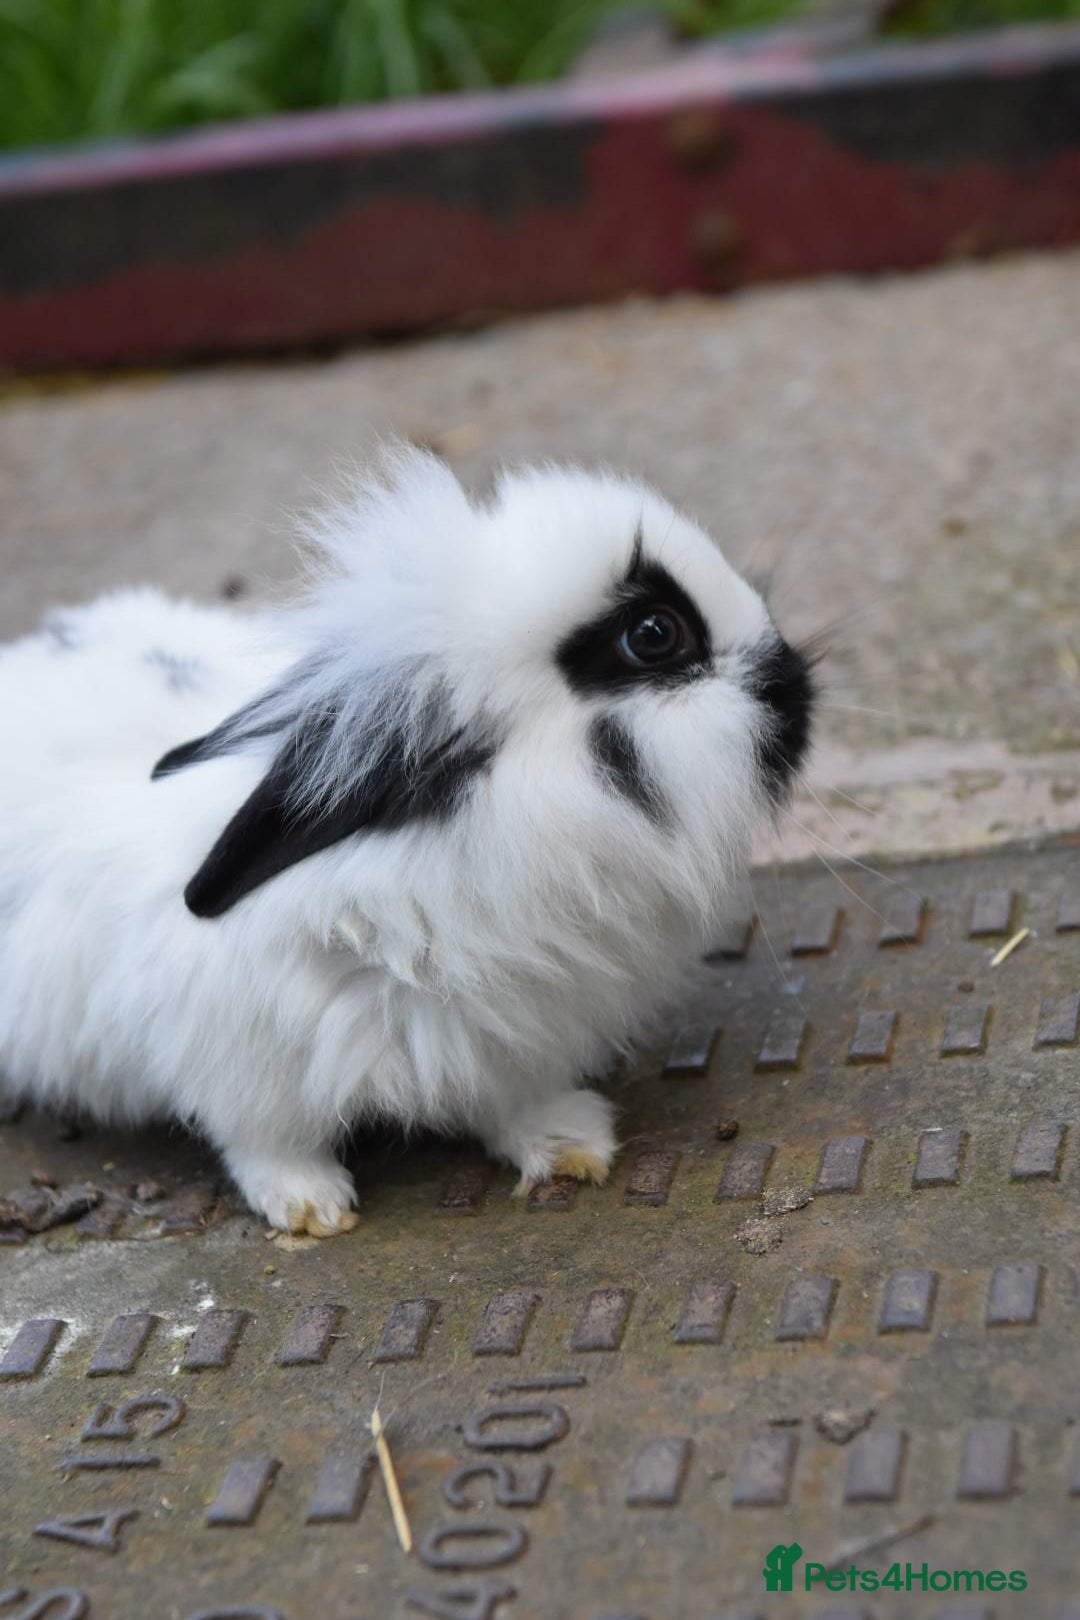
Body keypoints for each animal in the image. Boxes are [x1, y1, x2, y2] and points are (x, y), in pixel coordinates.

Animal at [0, 448, 813, 1236]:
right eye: (653, 635)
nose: (798, 685)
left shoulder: (510, 1032)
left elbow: (513, 1098)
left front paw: (571, 1144)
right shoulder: (241, 1054)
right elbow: (267, 1140)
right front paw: (311, 1207)